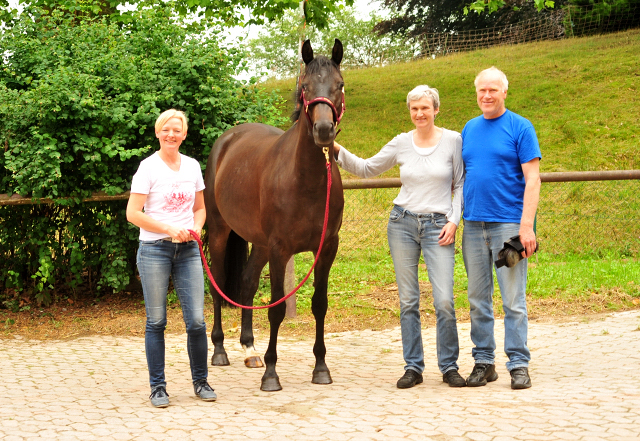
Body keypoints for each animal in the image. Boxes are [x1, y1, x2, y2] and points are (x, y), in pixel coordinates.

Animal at [204, 39, 344, 390]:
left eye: (339, 85)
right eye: (305, 87)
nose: (324, 130)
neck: (306, 181)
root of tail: (228, 139)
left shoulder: (327, 248)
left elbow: (319, 305)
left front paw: (320, 368)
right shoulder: (281, 249)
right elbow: (277, 309)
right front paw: (271, 373)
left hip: (260, 244)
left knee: (246, 284)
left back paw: (249, 349)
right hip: (221, 232)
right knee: (217, 284)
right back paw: (220, 351)